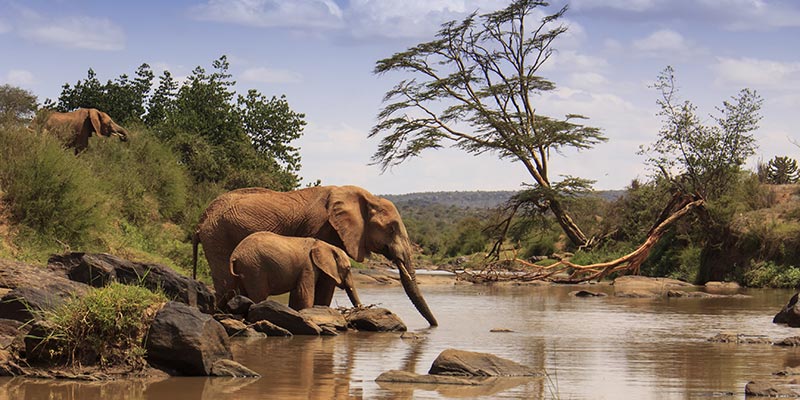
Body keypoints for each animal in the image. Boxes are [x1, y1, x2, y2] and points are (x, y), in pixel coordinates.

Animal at [228, 231, 362, 310]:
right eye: (348, 268)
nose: (360, 308)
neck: (325, 245)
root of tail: (235, 255)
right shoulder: (308, 266)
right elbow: (304, 293)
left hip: (245, 268)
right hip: (255, 268)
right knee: (259, 295)